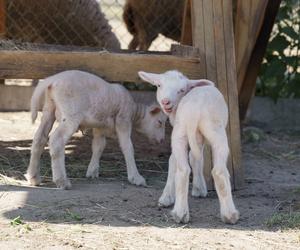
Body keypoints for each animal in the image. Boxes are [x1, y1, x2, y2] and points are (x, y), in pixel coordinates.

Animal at [25, 70, 166, 189]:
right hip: (71, 114)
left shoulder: (100, 126)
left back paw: (34, 177)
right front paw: (136, 178)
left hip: (49, 109)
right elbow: (128, 147)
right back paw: (62, 181)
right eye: (160, 122)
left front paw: (92, 171)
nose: (162, 140)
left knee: (39, 139)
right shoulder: (123, 119)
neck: (134, 112)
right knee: (56, 140)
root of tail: (52, 80)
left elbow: (98, 146)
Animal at [138, 70, 239, 225]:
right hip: (215, 132)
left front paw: (167, 197)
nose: (165, 101)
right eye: (159, 85)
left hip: (180, 132)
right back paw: (229, 215)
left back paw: (180, 214)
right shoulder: (196, 136)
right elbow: (195, 158)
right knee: (218, 171)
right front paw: (199, 188)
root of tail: (195, 109)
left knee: (183, 169)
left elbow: (176, 160)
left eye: (181, 90)